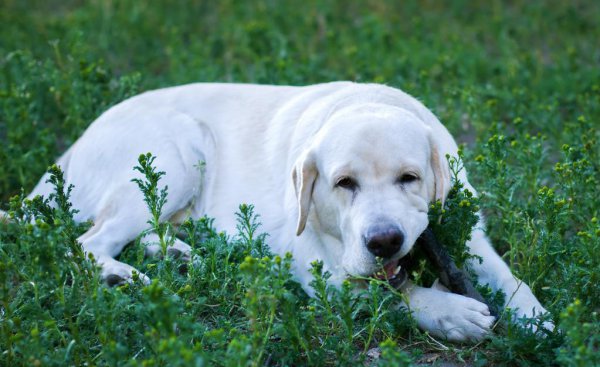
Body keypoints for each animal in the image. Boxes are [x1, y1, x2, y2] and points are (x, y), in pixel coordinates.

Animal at [16, 82, 552, 342]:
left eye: (410, 178)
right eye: (344, 184)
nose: (384, 241)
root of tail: (75, 144)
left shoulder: (473, 235)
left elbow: (511, 278)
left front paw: (536, 320)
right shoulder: (321, 272)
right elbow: (394, 296)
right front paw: (450, 312)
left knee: (148, 231)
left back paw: (181, 257)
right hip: (174, 152)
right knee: (88, 242)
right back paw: (124, 276)